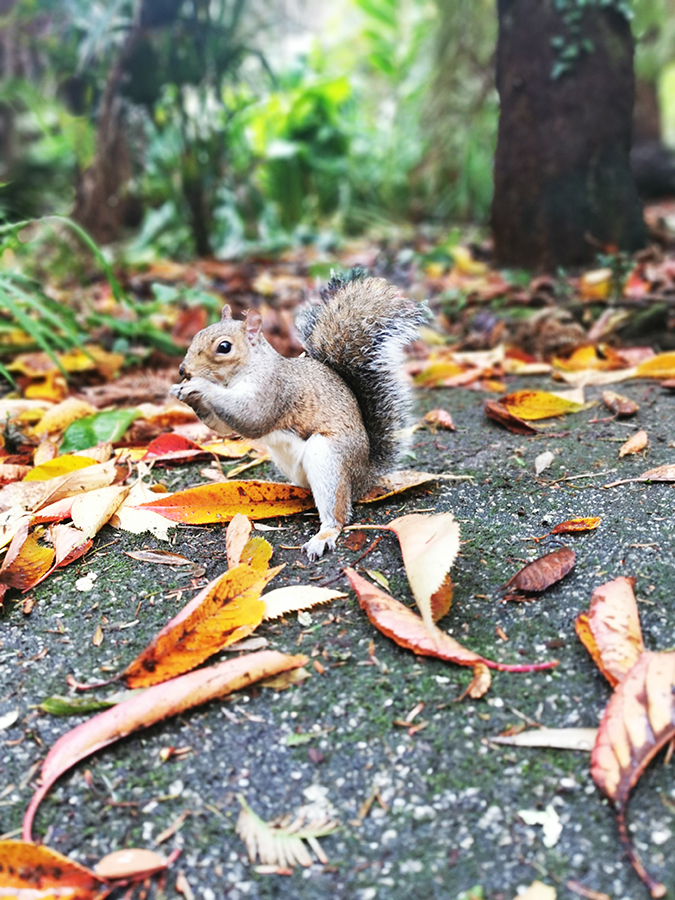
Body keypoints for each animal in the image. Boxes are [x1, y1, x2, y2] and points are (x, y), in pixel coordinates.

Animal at [170, 271, 425, 558]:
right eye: (197, 334)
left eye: (224, 347)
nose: (183, 370)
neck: (246, 370)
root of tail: (363, 477)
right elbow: (222, 426)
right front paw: (182, 391)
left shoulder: (275, 390)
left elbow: (252, 418)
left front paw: (200, 386)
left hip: (328, 458)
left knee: (338, 513)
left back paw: (323, 536)